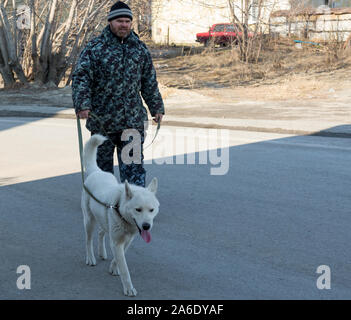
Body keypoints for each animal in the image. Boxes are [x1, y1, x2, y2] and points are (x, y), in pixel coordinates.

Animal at [81, 134, 160, 296]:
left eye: (151, 210)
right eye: (138, 210)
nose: (146, 226)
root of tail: (96, 171)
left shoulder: (127, 240)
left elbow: (120, 257)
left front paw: (113, 267)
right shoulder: (117, 241)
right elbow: (124, 268)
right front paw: (128, 288)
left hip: (104, 220)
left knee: (101, 232)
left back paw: (102, 252)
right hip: (89, 220)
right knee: (88, 240)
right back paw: (91, 258)